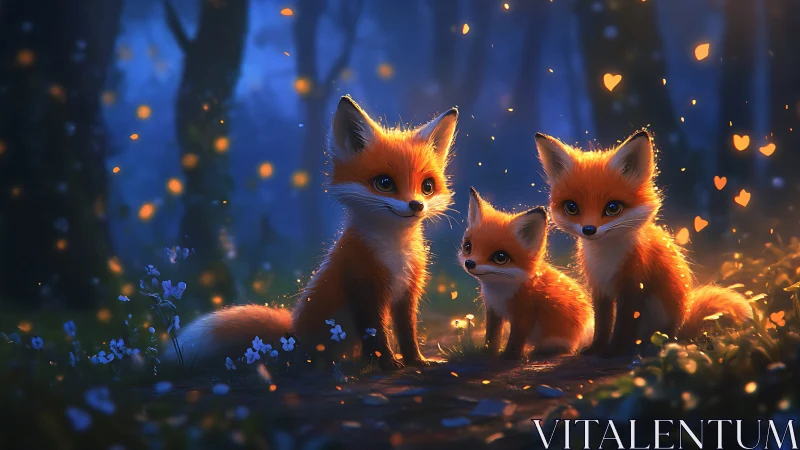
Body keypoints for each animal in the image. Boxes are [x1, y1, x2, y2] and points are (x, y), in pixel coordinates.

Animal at [172, 96, 458, 369]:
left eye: (427, 187)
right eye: (385, 183)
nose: (416, 205)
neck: (395, 253)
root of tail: (293, 336)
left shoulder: (408, 291)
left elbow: (407, 331)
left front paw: (416, 360)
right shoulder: (363, 286)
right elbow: (375, 333)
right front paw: (387, 363)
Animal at [458, 188, 594, 359]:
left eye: (500, 257)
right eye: (468, 247)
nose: (470, 263)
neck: (500, 293)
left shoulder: (525, 314)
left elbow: (515, 340)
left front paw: (509, 357)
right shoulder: (493, 310)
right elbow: (492, 336)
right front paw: (487, 353)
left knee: (564, 349)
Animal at [534, 129, 753, 357]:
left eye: (613, 208)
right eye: (571, 208)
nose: (589, 230)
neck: (606, 258)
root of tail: (681, 327)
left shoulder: (634, 284)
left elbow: (623, 323)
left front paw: (614, 350)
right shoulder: (600, 287)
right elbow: (603, 323)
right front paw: (596, 348)